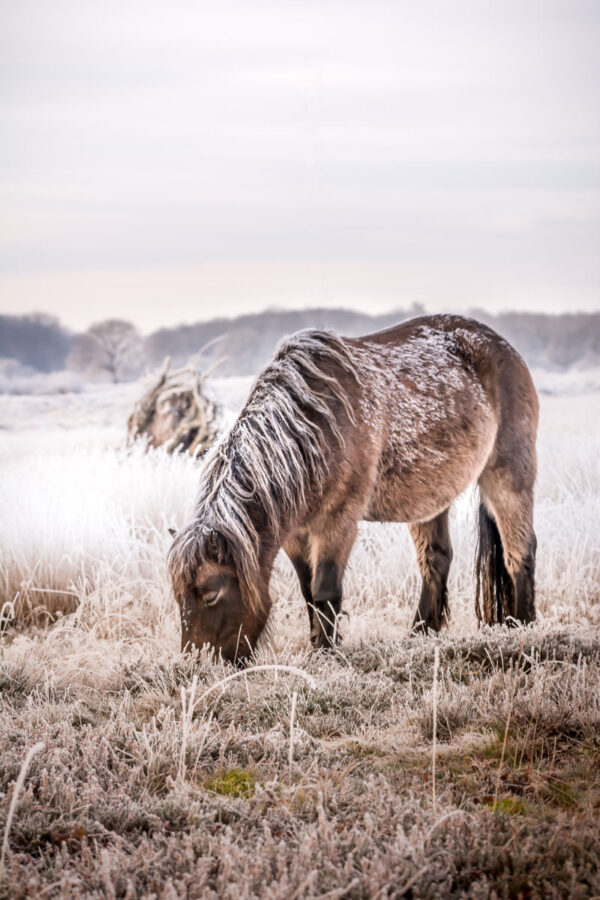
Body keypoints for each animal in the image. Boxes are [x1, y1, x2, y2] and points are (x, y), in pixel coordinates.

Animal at [169, 314, 540, 660]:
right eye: (178, 596)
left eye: (211, 594)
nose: (198, 663)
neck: (311, 427)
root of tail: (503, 348)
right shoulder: (293, 533)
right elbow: (308, 592)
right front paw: (317, 642)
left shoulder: (339, 521)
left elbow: (325, 589)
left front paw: (325, 651)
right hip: (431, 497)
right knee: (436, 560)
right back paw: (420, 634)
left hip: (508, 475)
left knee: (519, 551)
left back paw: (523, 626)